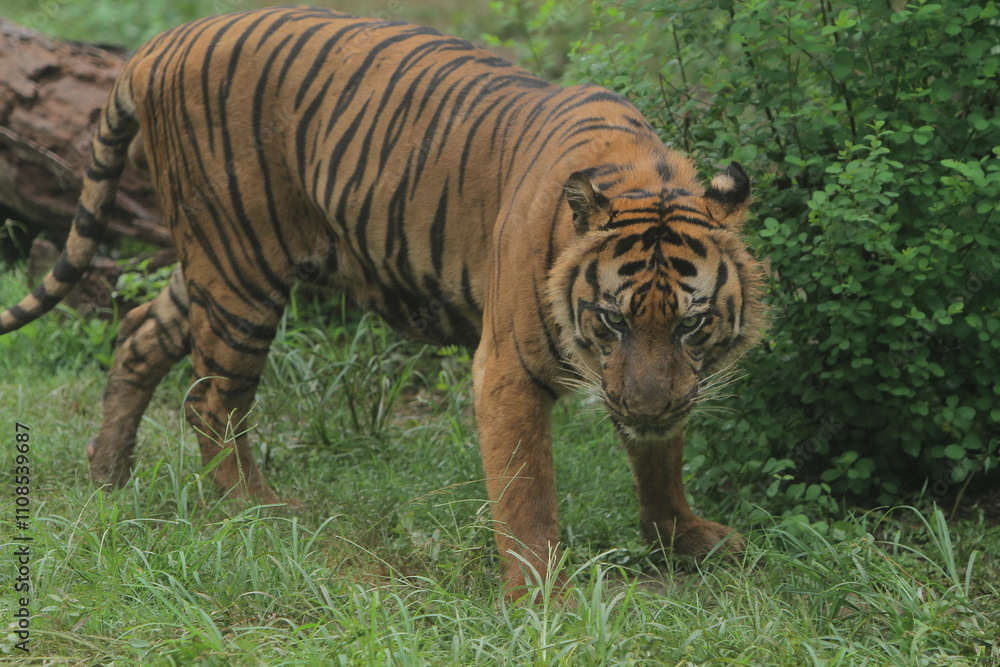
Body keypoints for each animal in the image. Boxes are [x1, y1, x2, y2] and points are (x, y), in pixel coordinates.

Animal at [0, 6, 765, 598]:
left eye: (692, 324)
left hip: (213, 264)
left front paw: (683, 537)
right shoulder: (509, 370)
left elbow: (661, 461)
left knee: (138, 334)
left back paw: (109, 473)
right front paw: (545, 600)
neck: (640, 172)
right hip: (240, 269)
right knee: (211, 399)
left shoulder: (660, 384)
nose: (647, 408)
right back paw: (257, 509)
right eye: (611, 319)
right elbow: (528, 495)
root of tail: (158, 44)